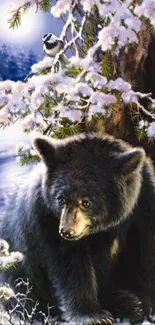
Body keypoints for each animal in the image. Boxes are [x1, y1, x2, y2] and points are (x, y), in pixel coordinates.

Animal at [0, 132, 155, 324]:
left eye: (86, 202)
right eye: (61, 199)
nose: (67, 231)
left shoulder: (144, 202)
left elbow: (143, 251)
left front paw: (146, 303)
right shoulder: (46, 216)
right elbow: (70, 265)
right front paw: (92, 315)